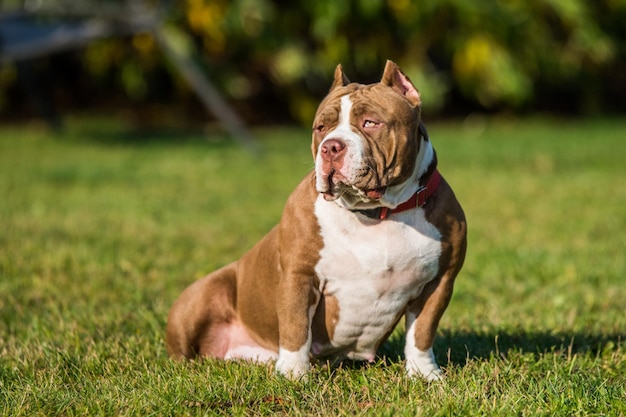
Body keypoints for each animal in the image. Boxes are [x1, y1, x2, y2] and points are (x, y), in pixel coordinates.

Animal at [166, 59, 464, 380]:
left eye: (370, 123)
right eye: (321, 127)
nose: (331, 146)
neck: (377, 213)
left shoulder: (440, 282)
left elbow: (422, 333)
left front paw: (424, 374)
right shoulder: (299, 275)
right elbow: (295, 327)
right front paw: (293, 374)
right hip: (200, 297)